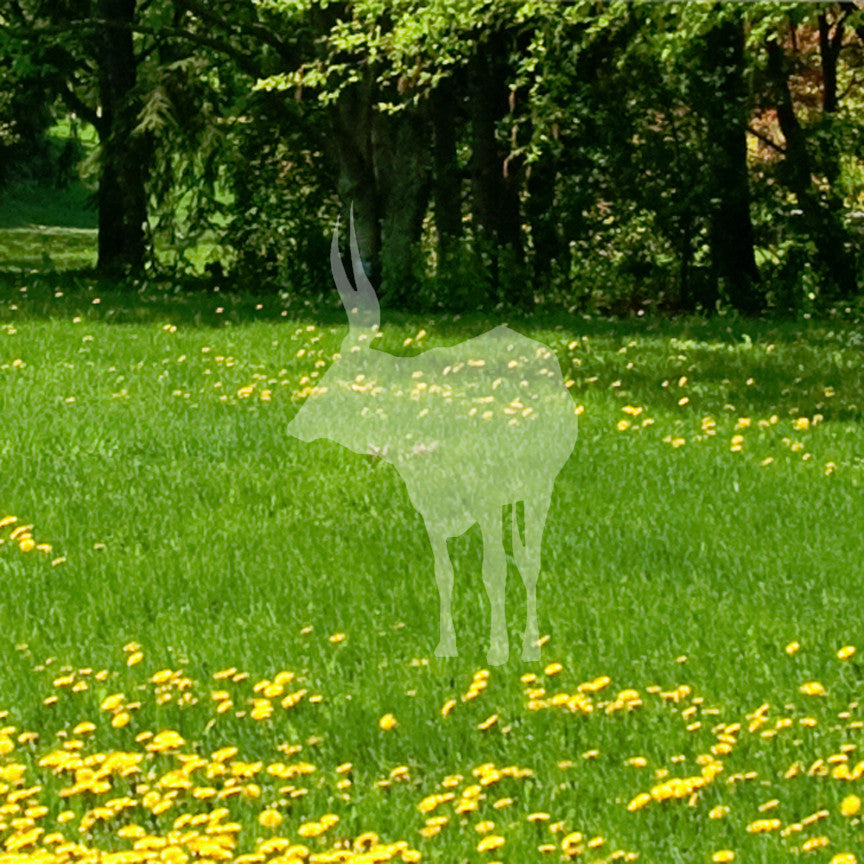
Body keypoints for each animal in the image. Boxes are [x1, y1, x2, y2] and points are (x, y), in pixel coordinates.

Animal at [287, 210, 578, 664]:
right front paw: (446, 647)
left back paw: (530, 644)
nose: (296, 425)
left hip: (537, 487)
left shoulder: (485, 499)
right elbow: (445, 573)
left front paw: (497, 651)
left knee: (529, 560)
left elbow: (493, 570)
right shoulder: (431, 511)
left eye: (336, 373)